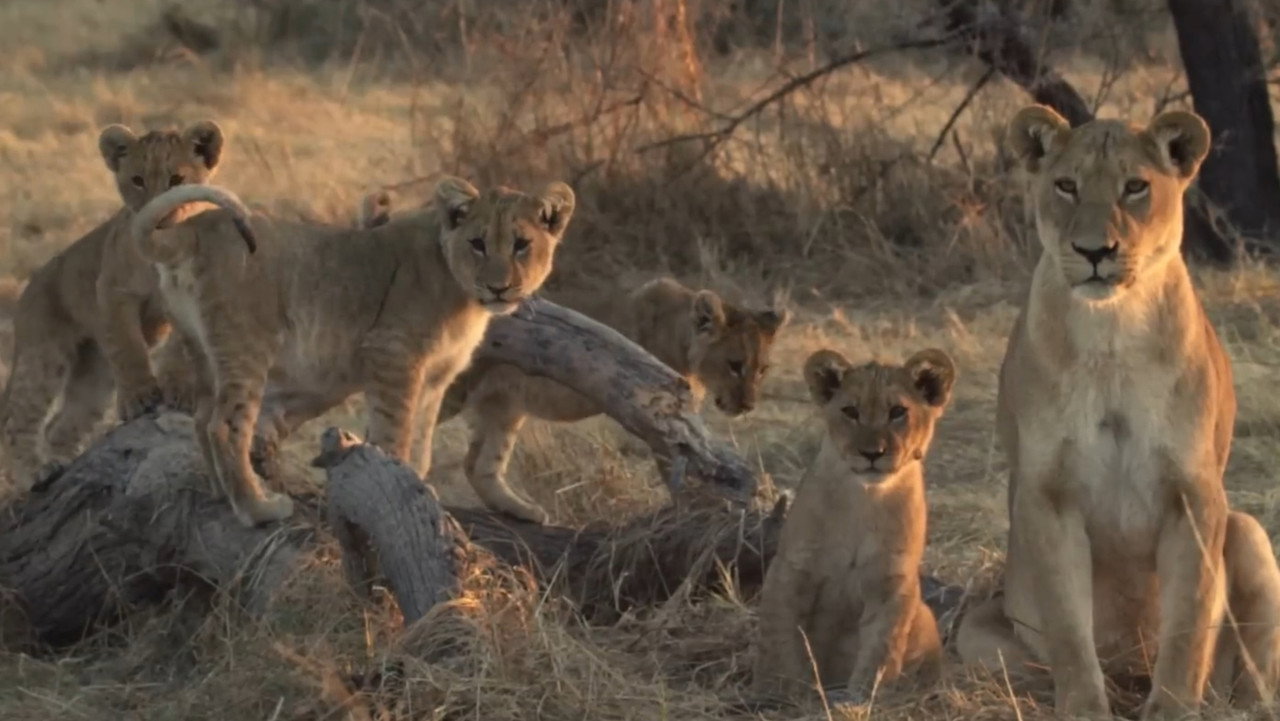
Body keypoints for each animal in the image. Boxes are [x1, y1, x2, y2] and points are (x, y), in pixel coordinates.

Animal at [0, 121, 222, 488]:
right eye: (137, 180)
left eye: (177, 179)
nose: (156, 218)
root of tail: (30, 285)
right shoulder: (113, 291)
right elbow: (129, 346)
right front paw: (139, 399)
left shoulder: (193, 294)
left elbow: (179, 348)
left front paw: (181, 391)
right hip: (44, 352)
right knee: (18, 422)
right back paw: (38, 473)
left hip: (95, 374)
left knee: (60, 425)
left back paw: (64, 463)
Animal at [131, 177, 575, 527]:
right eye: (478, 244)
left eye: (521, 244)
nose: (499, 287)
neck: (464, 294)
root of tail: (196, 226)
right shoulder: (393, 354)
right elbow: (396, 434)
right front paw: (401, 494)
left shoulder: (436, 377)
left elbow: (423, 443)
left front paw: (419, 484)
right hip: (247, 345)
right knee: (225, 425)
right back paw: (259, 509)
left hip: (203, 349)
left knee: (202, 418)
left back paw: (225, 496)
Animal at [750, 347, 952, 705]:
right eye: (850, 411)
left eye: (898, 412)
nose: (872, 453)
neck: (865, 499)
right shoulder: (790, 569)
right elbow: (780, 638)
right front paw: (786, 692)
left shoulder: (893, 582)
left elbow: (881, 649)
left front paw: (861, 700)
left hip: (925, 616)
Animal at [954, 105, 1280, 718]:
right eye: (1066, 185)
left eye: (1135, 187)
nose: (1093, 252)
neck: (1111, 331)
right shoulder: (1047, 496)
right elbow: (1068, 626)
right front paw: (1085, 707)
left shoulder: (1194, 494)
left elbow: (1189, 621)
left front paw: (1173, 707)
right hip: (977, 634)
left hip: (1247, 530)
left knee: (1255, 673)